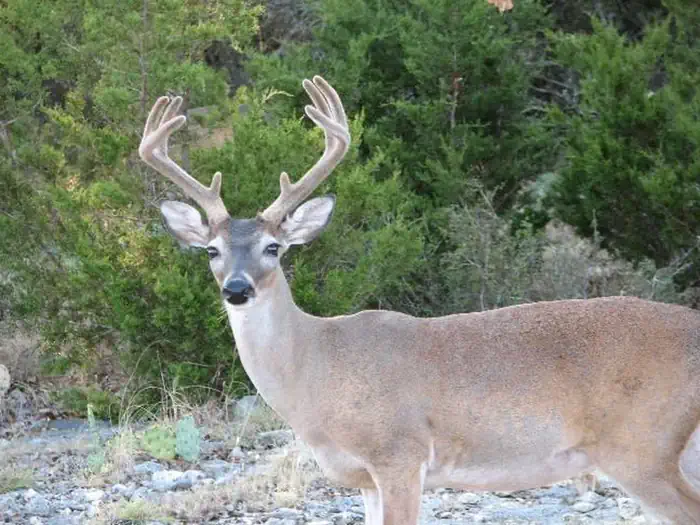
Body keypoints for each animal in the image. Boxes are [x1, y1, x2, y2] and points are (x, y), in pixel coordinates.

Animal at [138, 76, 700, 524]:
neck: (317, 369)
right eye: (211, 250)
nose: (237, 289)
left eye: (274, 248)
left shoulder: (399, 453)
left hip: (641, 445)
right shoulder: (365, 478)